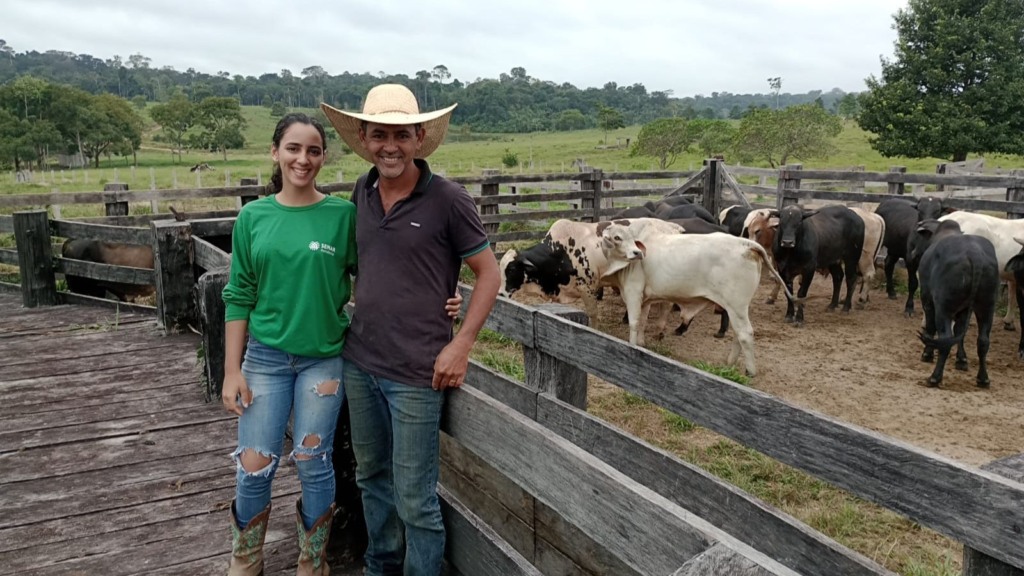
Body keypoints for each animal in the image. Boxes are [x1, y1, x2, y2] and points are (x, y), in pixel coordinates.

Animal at [598, 222, 790, 375]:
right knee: (738, 333)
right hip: (737, 309)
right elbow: (643, 322)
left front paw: (631, 345)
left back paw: (750, 371)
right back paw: (730, 363)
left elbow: (634, 323)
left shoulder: (633, 291)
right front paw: (641, 343)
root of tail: (745, 243)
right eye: (616, 237)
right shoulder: (645, 299)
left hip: (736, 306)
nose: (636, 254)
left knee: (745, 334)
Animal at [909, 218, 995, 385]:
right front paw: (961, 360)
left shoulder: (928, 299)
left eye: (917, 237)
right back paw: (983, 379)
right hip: (987, 307)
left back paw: (935, 377)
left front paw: (927, 354)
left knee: (945, 337)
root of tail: (974, 254)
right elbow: (959, 331)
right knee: (983, 341)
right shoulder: (964, 310)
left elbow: (931, 327)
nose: (912, 253)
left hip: (944, 308)